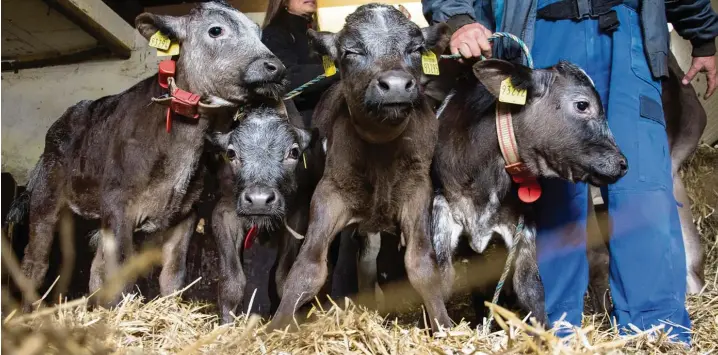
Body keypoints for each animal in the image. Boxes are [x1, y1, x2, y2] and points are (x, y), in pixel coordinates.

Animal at [9, 0, 288, 308]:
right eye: (216, 30)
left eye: (258, 32)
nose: (276, 67)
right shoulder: (119, 207)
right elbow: (121, 273)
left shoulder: (184, 215)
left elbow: (172, 276)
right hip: (46, 198)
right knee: (36, 262)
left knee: (95, 269)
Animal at [268, 2, 452, 332]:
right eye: (351, 51)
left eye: (416, 49)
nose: (395, 85)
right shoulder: (328, 195)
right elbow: (307, 269)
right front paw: (277, 328)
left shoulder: (418, 191)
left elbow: (421, 265)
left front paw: (442, 324)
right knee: (287, 265)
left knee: (367, 261)